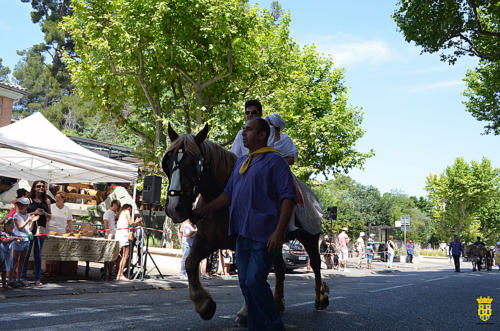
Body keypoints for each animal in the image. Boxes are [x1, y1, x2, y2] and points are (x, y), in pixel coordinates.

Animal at [162, 124, 330, 324]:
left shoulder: (246, 243)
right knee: (281, 269)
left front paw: (246, 312)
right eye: (168, 163)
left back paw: (319, 299)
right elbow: (189, 263)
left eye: (193, 164)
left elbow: (247, 275)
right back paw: (278, 303)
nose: (174, 208)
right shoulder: (205, 241)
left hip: (309, 237)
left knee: (316, 264)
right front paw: (204, 305)